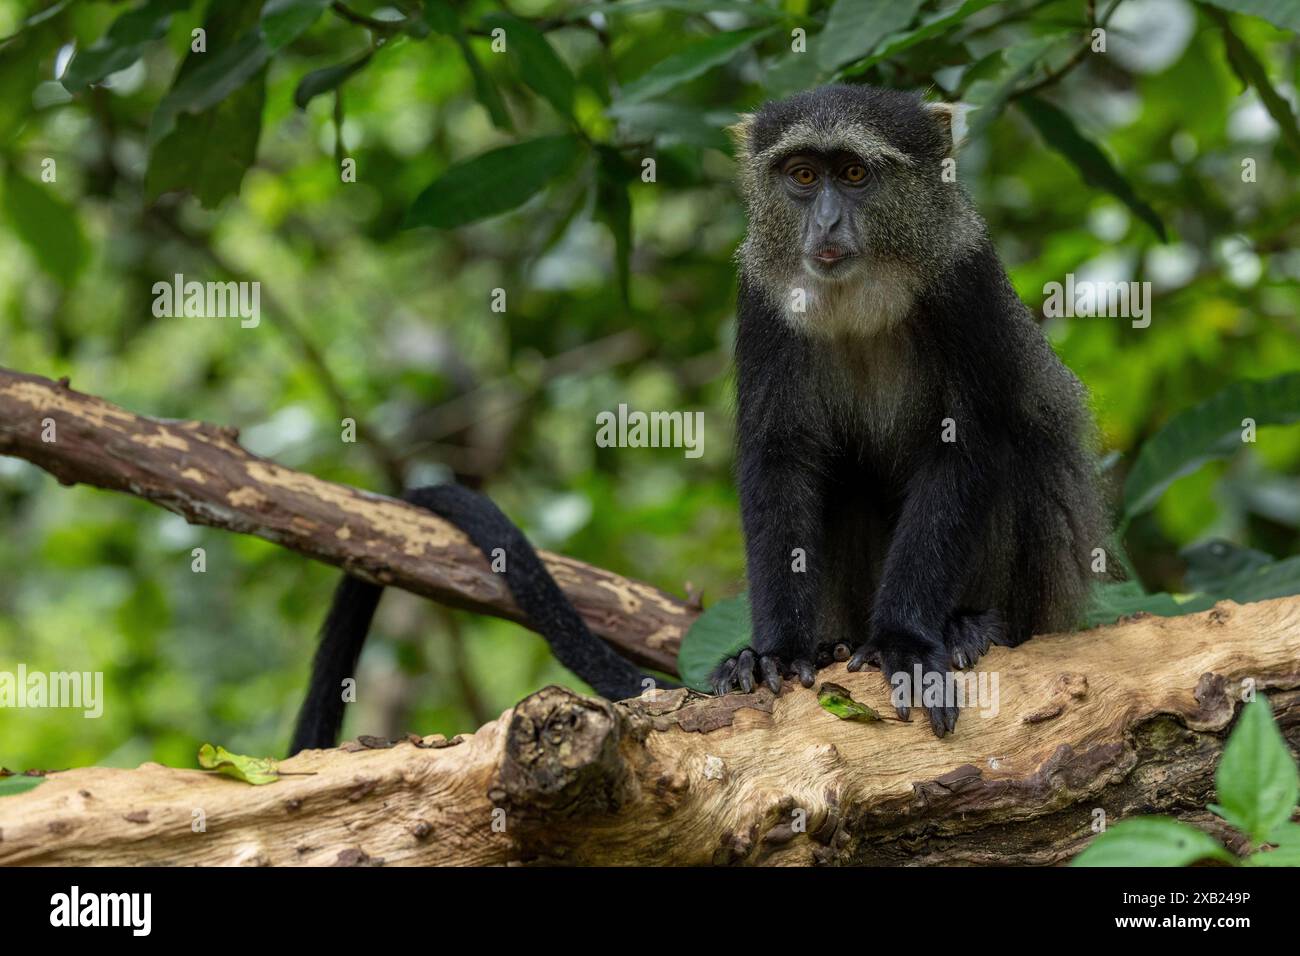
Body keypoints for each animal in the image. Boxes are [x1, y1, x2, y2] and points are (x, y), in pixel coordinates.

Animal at [710, 85, 1110, 736]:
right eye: (802, 175)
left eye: (854, 173)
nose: (825, 221)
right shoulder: (762, 296)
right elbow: (780, 459)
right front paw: (773, 653)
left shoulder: (965, 278)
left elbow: (967, 446)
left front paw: (905, 642)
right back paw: (836, 644)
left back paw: (971, 625)